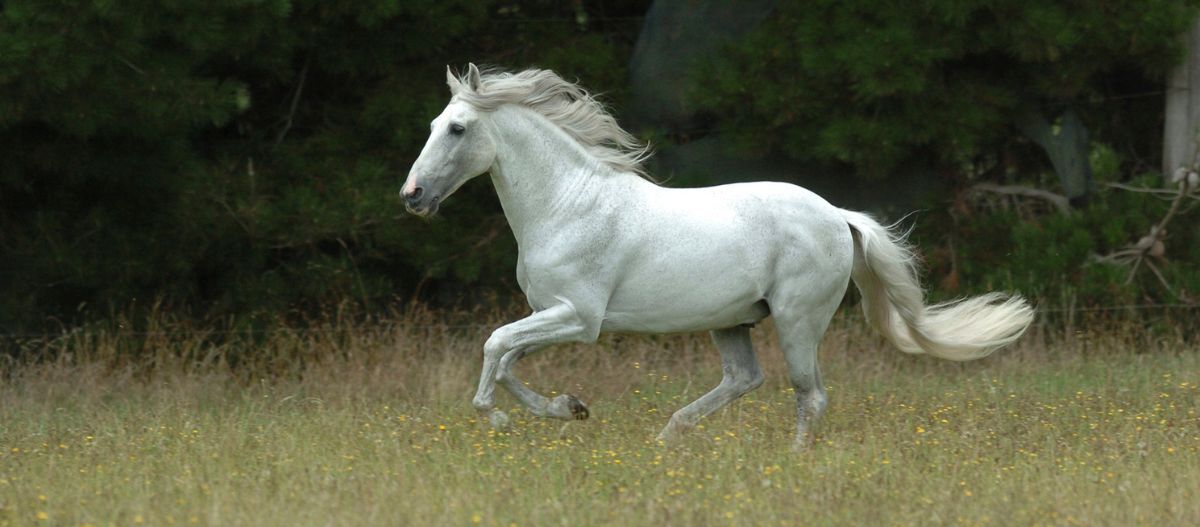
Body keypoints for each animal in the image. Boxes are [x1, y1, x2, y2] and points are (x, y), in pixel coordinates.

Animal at [401, 64, 1034, 450]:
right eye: (432, 124)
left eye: (457, 128)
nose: (413, 196)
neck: (568, 203)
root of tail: (837, 215)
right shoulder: (549, 315)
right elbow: (507, 358)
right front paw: (569, 408)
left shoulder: (579, 318)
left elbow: (495, 347)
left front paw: (503, 416)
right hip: (732, 321)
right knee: (744, 379)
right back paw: (667, 438)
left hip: (798, 320)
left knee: (809, 395)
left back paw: (788, 461)